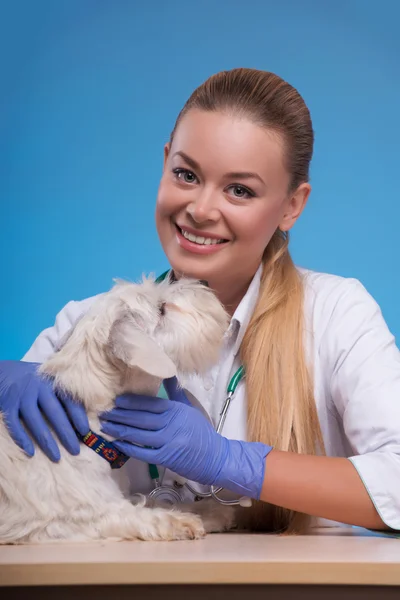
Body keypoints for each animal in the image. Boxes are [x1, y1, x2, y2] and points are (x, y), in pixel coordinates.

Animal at [0, 276, 234, 544]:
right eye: (161, 309)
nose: (203, 282)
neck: (87, 429)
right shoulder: (72, 519)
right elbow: (141, 515)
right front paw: (182, 521)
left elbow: (156, 501)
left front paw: (211, 511)